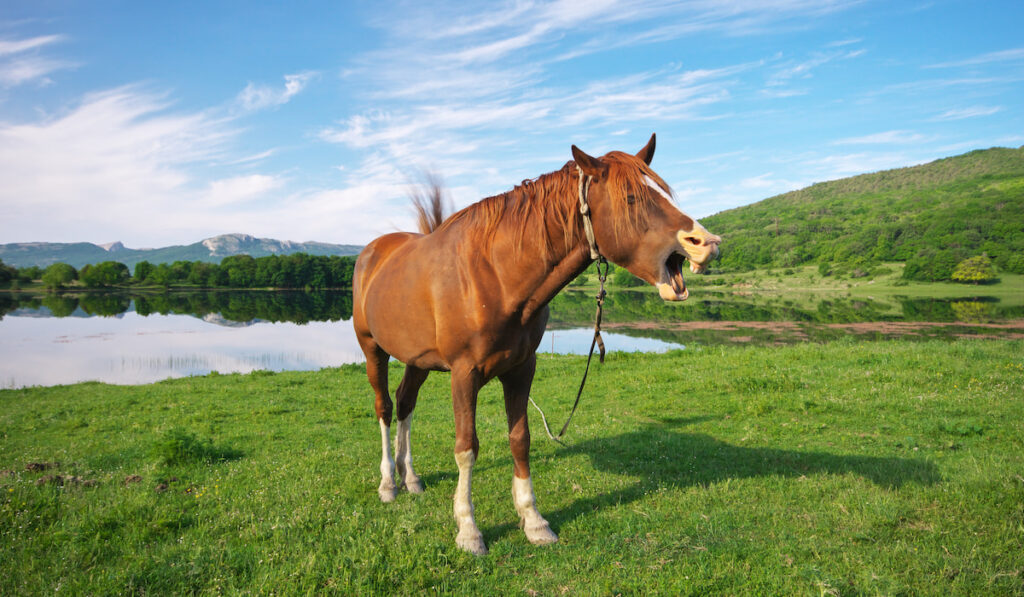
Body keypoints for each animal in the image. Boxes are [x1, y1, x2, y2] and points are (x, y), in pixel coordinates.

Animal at [352, 135, 720, 557]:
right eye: (631, 197)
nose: (706, 243)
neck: (495, 274)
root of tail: (373, 252)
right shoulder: (464, 373)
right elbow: (466, 447)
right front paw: (468, 529)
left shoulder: (521, 369)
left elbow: (520, 440)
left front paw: (533, 520)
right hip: (372, 350)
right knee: (384, 406)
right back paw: (388, 483)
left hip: (418, 359)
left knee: (405, 402)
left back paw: (409, 476)